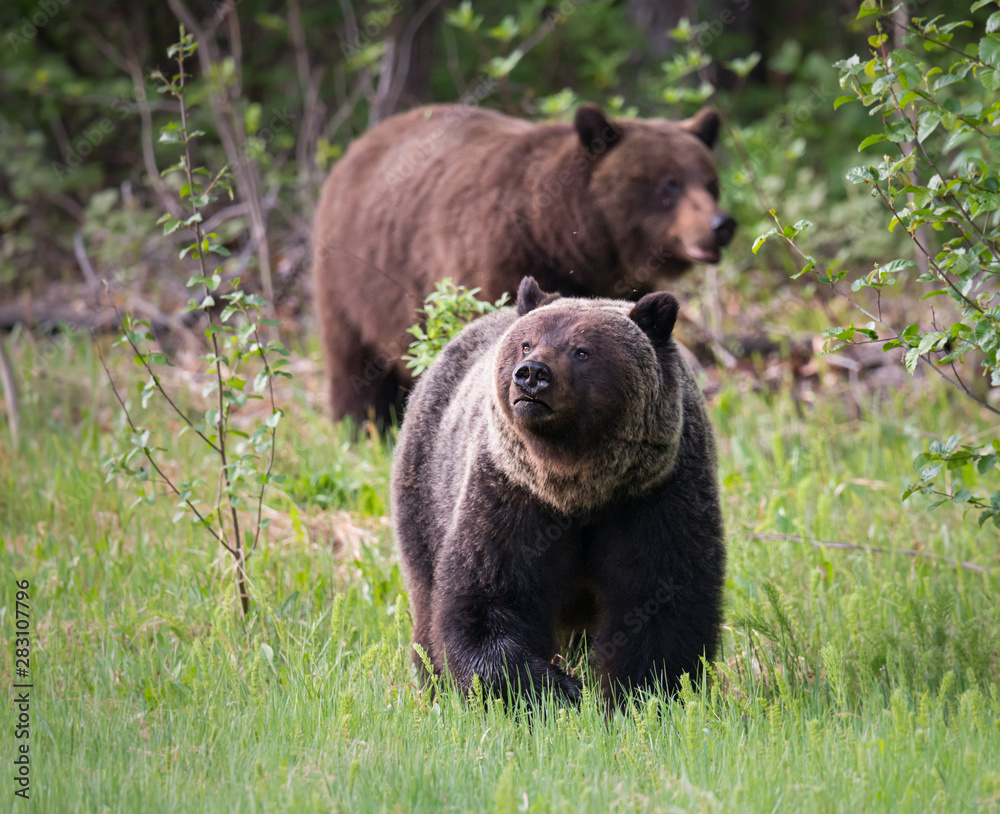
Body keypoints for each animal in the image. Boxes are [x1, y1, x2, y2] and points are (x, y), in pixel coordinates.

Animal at [312, 103, 736, 424]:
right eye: (669, 184)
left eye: (709, 182)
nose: (721, 225)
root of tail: (358, 145)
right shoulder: (497, 259)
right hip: (352, 282)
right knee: (354, 365)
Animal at [390, 276, 728, 708]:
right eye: (527, 343)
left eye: (582, 350)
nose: (532, 373)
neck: (580, 486)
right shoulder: (512, 495)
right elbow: (487, 598)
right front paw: (555, 690)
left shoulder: (656, 495)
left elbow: (662, 600)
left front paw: (641, 694)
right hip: (425, 489)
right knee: (426, 593)